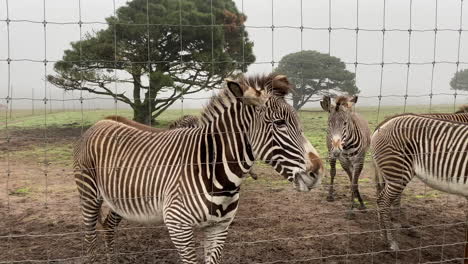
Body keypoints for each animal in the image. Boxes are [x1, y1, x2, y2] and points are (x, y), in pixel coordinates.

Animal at [76, 72, 326, 264]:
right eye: (279, 123)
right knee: (89, 238)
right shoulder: (178, 225)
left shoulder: (218, 227)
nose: (317, 172)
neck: (218, 175)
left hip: (120, 198)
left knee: (108, 226)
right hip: (89, 194)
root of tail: (102, 121)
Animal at [372, 113, 468, 250]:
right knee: (383, 201)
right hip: (397, 171)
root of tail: (383, 125)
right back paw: (391, 241)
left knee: (385, 199)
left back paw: (384, 236)